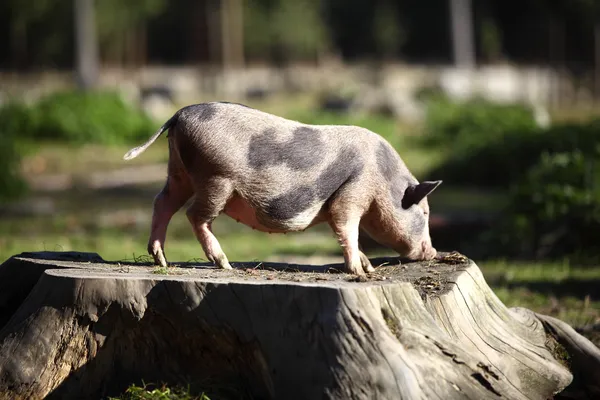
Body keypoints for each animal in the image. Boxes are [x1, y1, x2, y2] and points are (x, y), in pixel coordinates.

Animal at [123, 101, 440, 276]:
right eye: (424, 213)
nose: (433, 252)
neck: (384, 181)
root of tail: (180, 114)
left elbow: (346, 232)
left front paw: (368, 266)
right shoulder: (354, 190)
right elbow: (347, 226)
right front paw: (360, 272)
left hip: (179, 172)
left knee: (162, 201)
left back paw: (161, 260)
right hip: (216, 178)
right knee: (194, 215)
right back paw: (225, 265)